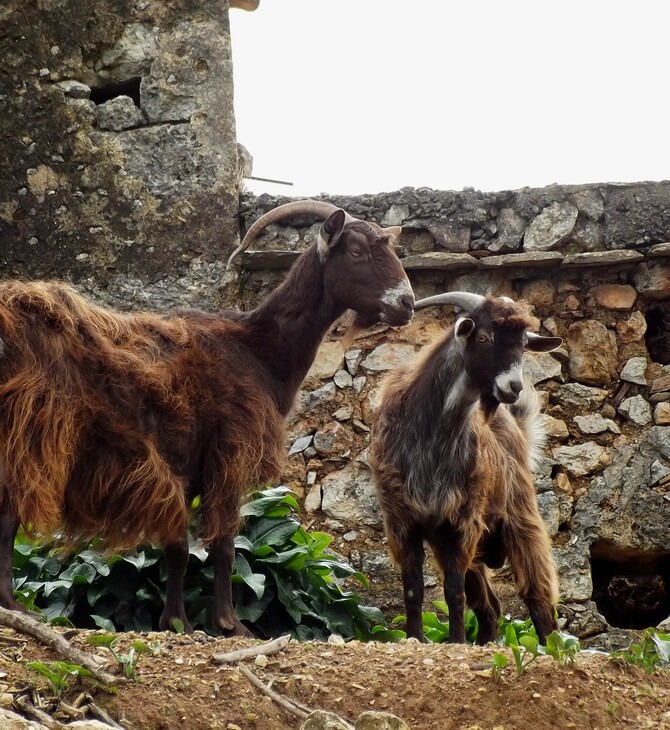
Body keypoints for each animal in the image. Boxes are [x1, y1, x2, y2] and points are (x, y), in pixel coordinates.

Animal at [0, 198, 414, 632]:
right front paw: (229, 623)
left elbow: (178, 548)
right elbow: (223, 545)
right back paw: (14, 606)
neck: (258, 349)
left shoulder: (184, 466)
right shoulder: (228, 453)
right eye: (357, 252)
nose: (407, 304)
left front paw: (174, 620)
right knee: (9, 512)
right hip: (30, 431)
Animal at [370, 290, 564, 644]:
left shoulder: (462, 522)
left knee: (538, 593)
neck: (431, 436)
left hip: (520, 517)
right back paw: (486, 642)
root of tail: (516, 429)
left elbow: (453, 592)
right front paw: (415, 637)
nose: (514, 387)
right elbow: (413, 589)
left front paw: (457, 640)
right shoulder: (404, 521)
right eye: (484, 337)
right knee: (490, 606)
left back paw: (549, 646)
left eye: (522, 345)